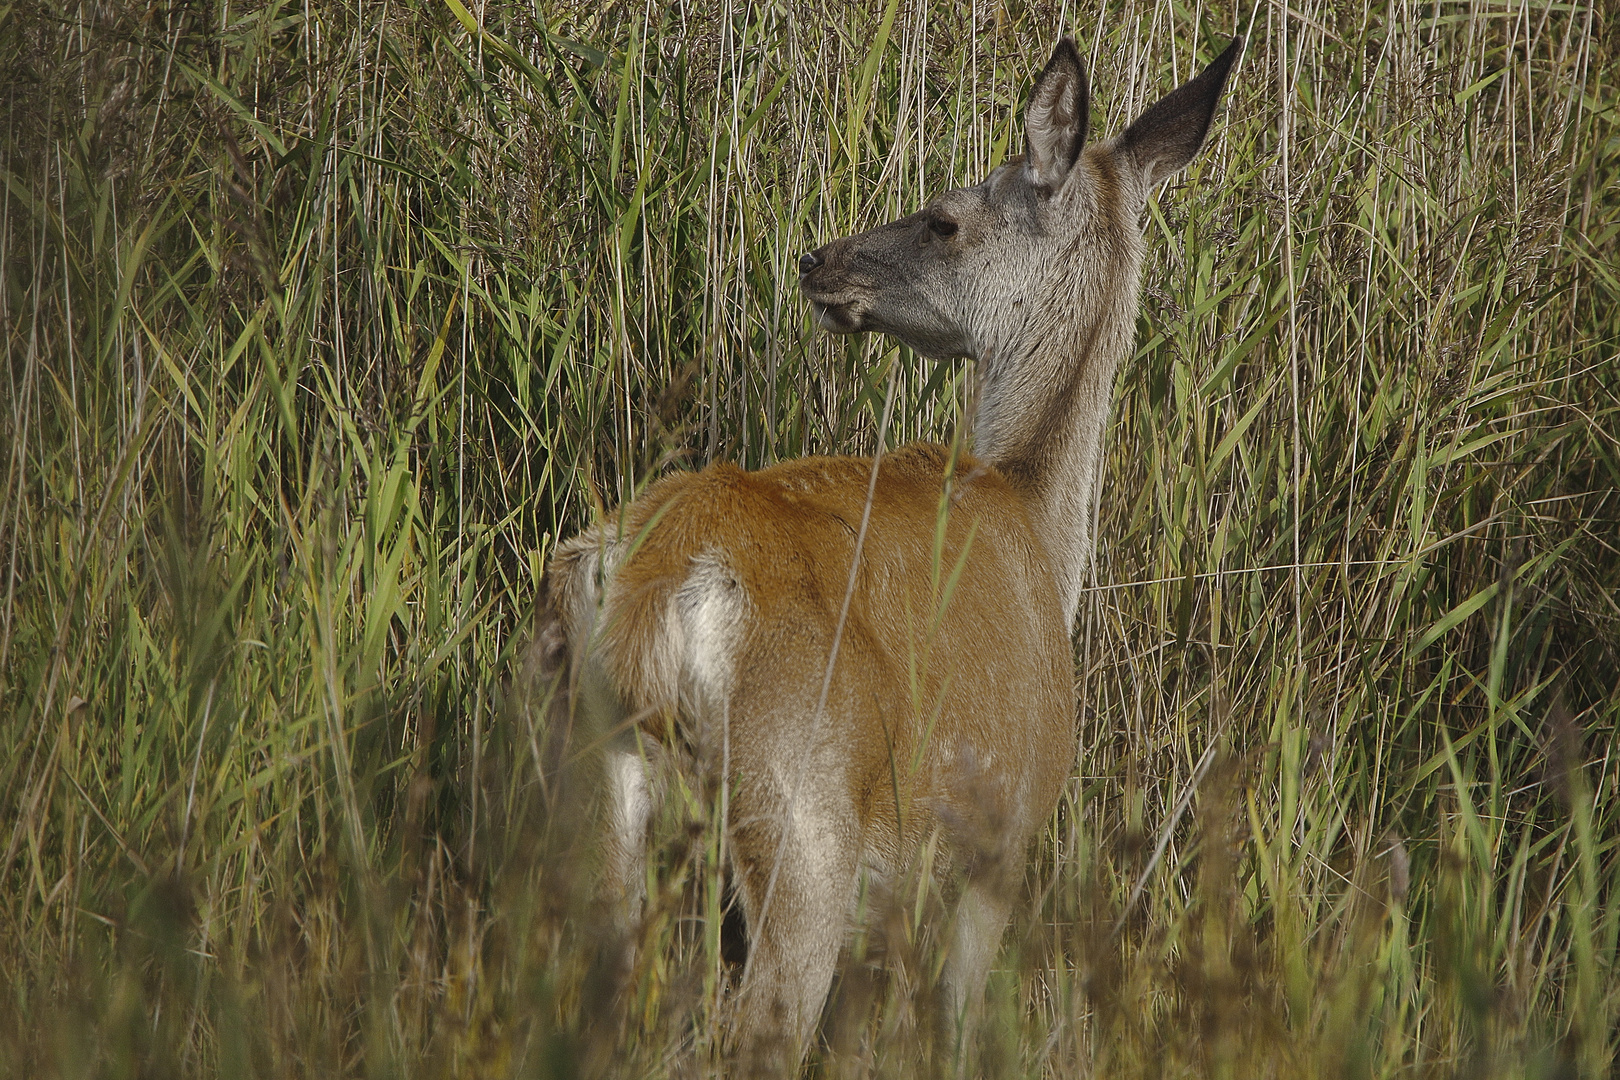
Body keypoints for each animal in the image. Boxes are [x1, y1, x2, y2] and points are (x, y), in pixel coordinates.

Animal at [537, 31, 1244, 1075]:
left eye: (945, 218)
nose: (817, 259)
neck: (1040, 526)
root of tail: (650, 592)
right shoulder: (1002, 839)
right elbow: (953, 1031)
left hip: (591, 775)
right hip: (801, 814)